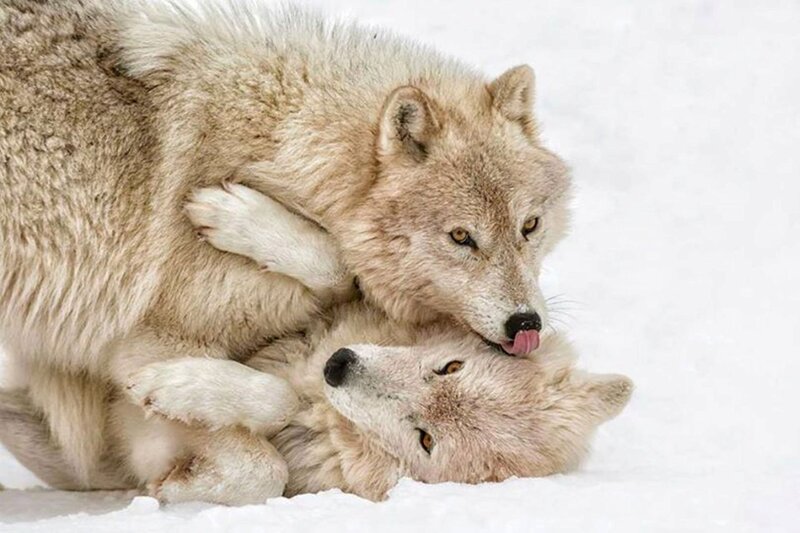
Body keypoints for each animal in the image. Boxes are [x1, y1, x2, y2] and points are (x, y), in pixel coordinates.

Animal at [0, 0, 570, 495]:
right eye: (460, 237)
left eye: (530, 225)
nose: (526, 323)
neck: (287, 161)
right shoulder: (147, 345)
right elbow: (265, 464)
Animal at [0, 187, 631, 504]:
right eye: (449, 366)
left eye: (424, 439)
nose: (340, 364)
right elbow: (335, 267)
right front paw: (236, 213)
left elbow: (267, 463)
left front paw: (179, 395)